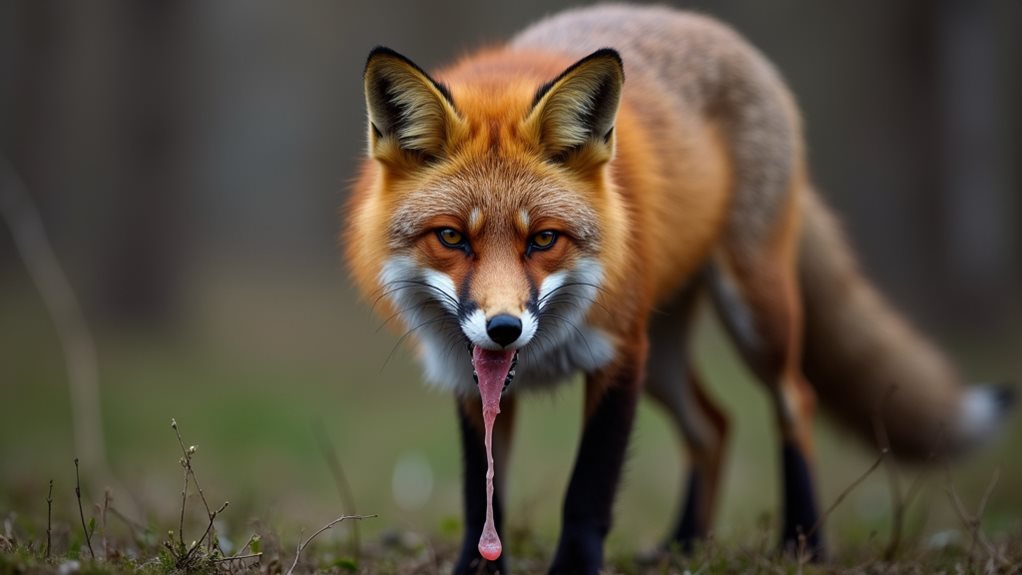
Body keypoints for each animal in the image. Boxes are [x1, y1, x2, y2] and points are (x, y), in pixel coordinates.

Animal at [344, 5, 1014, 574]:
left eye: (544, 239)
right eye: (452, 237)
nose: (504, 329)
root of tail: (710, 26)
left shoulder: (618, 355)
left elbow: (588, 487)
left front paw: (576, 568)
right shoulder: (472, 379)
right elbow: (482, 491)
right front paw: (475, 568)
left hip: (751, 315)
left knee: (794, 399)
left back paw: (804, 543)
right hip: (664, 357)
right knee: (713, 426)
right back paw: (684, 544)